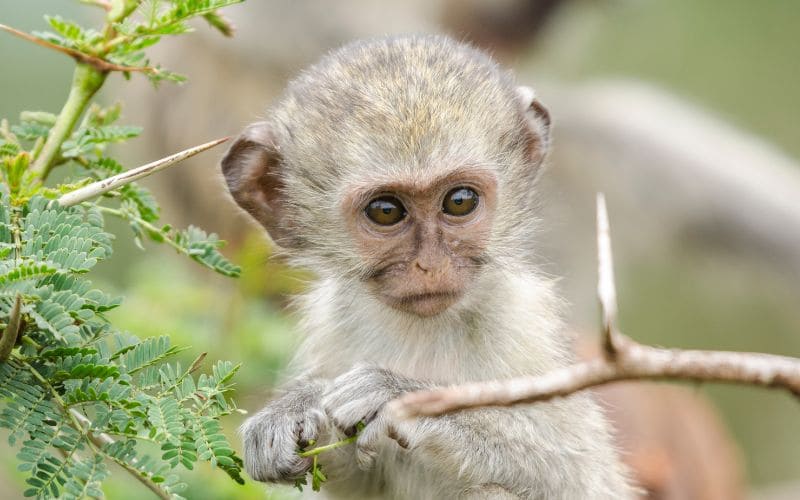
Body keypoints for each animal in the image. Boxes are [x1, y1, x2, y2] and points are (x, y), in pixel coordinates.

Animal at [221, 34, 633, 499]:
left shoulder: (524, 322)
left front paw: (400, 398)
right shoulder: (330, 322)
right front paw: (293, 409)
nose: (429, 265)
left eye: (460, 201)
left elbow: (581, 477)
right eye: (385, 211)